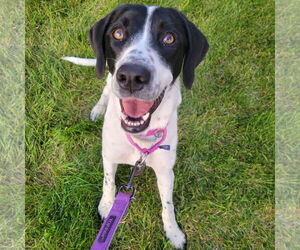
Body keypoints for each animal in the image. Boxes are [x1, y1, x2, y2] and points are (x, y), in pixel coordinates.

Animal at [63, 3, 209, 248]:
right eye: (118, 33)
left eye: (169, 38)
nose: (131, 76)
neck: (141, 139)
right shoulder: (109, 156)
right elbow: (108, 182)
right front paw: (107, 206)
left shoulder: (165, 171)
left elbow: (167, 206)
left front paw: (173, 232)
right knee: (105, 89)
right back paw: (98, 109)